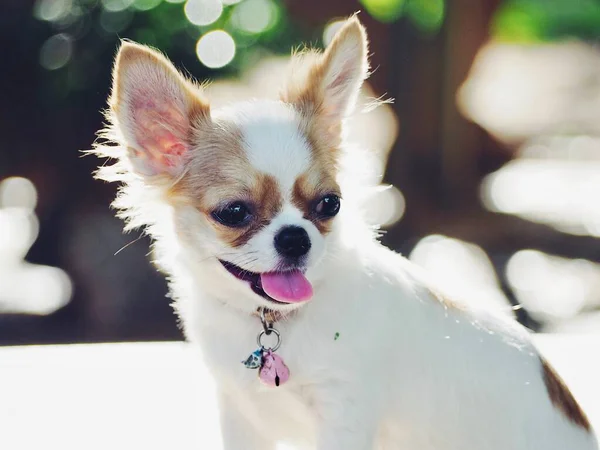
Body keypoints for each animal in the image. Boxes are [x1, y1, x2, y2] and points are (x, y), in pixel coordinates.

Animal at [91, 15, 596, 450]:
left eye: (328, 204)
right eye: (234, 212)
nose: (295, 238)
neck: (272, 324)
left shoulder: (345, 414)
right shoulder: (240, 413)